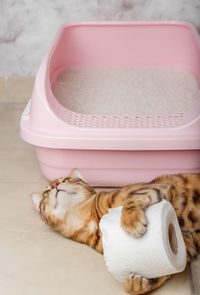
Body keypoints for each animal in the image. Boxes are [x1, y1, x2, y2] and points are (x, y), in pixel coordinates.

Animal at [31, 169, 200, 295]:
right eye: (46, 193)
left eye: (66, 179)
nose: (55, 185)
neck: (87, 219)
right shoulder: (186, 243)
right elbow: (166, 268)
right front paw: (139, 284)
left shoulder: (155, 187)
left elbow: (131, 199)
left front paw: (131, 220)